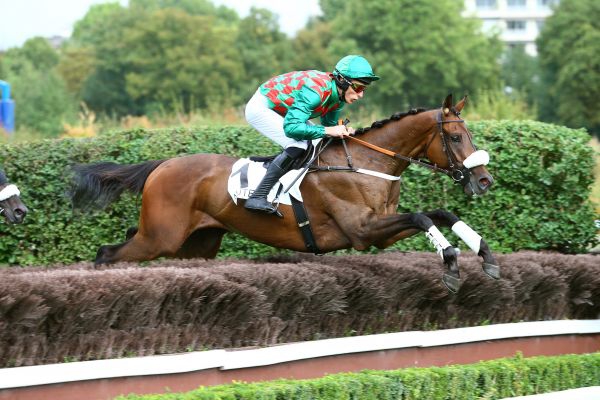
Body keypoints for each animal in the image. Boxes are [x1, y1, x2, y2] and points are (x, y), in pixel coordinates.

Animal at [70, 95, 500, 292]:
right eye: (456, 137)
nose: (483, 181)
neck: (366, 162)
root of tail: (160, 166)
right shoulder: (362, 231)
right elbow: (423, 216)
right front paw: (450, 262)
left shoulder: (378, 230)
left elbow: (441, 213)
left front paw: (485, 254)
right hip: (160, 238)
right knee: (107, 253)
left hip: (195, 243)